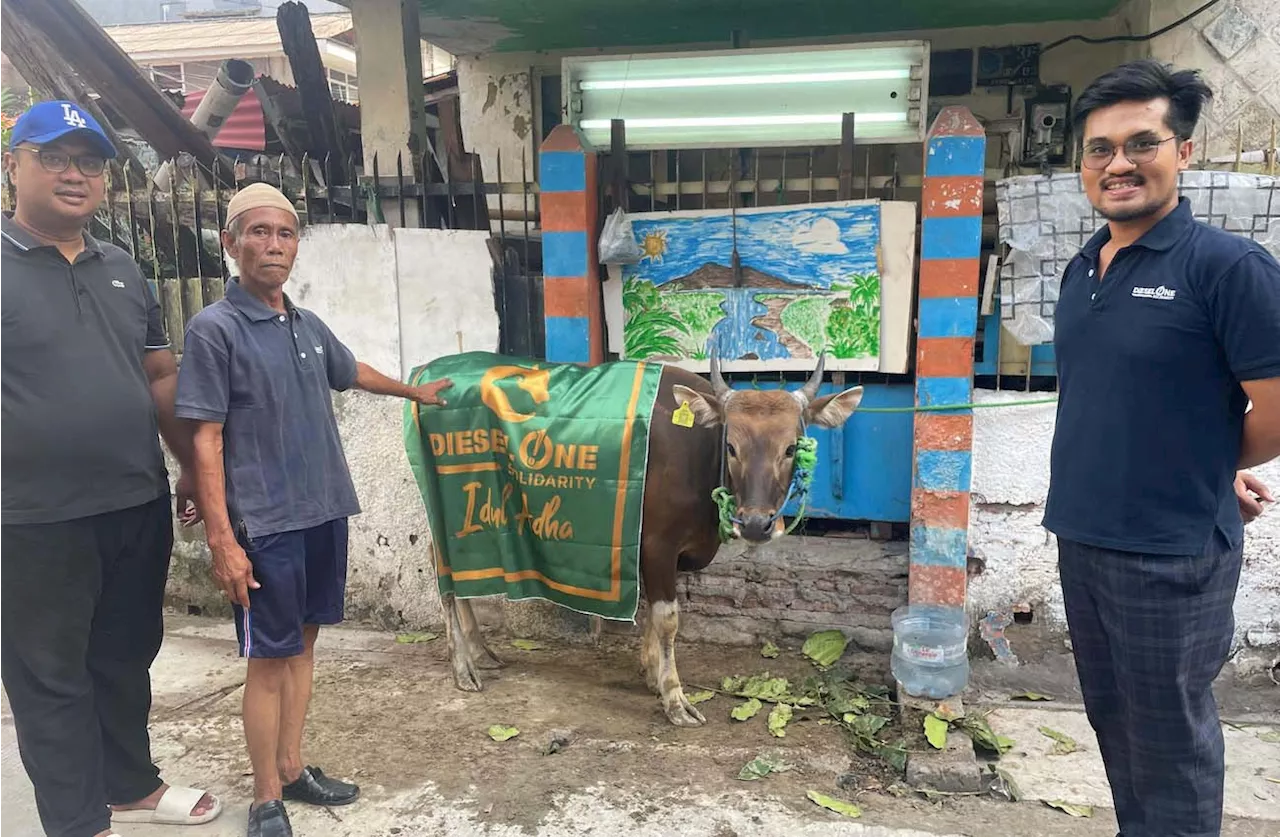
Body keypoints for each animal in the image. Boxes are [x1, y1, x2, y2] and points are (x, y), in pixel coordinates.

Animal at [435, 353, 865, 726]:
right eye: (731, 446)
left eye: (791, 448)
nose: (757, 524)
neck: (697, 456)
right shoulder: (657, 545)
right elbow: (668, 619)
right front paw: (674, 696)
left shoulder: (662, 550)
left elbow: (653, 616)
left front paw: (651, 671)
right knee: (444, 575)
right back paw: (462, 665)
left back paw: (480, 651)